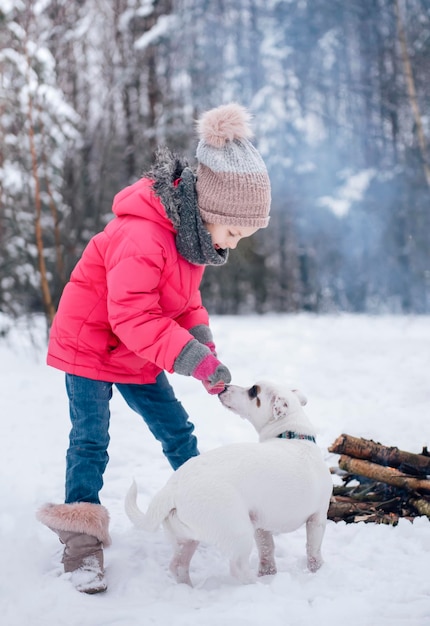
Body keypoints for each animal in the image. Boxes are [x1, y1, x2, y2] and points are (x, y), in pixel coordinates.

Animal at [124, 380, 332, 584]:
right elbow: (313, 549)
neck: (292, 435)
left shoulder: (261, 525)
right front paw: (318, 570)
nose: (223, 387)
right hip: (238, 531)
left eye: (253, 391)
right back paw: (254, 584)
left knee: (178, 566)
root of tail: (172, 489)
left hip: (184, 537)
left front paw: (268, 573)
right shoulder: (317, 518)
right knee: (236, 567)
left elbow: (267, 550)